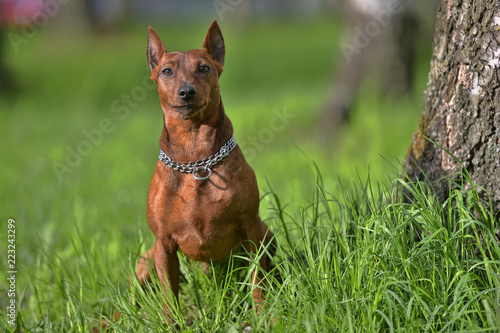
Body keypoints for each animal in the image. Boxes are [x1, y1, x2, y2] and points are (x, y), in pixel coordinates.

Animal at [137, 20, 276, 322]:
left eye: (203, 68)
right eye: (167, 71)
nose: (186, 92)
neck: (196, 157)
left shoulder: (252, 227)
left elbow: (258, 279)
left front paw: (264, 315)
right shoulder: (163, 244)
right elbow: (169, 296)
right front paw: (172, 324)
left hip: (268, 235)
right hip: (146, 261)